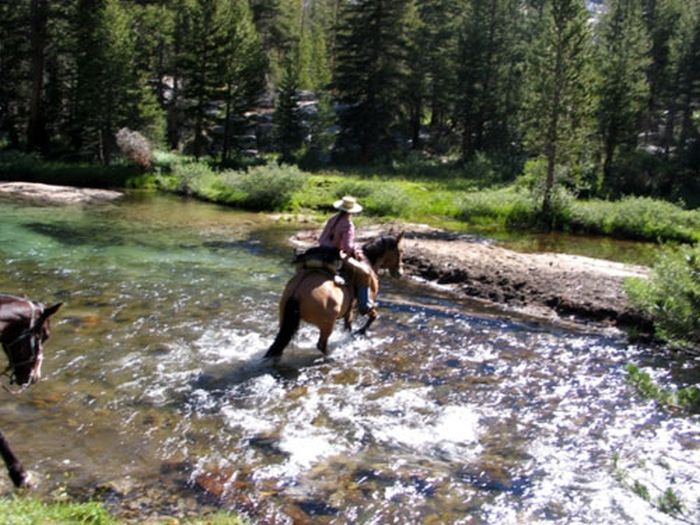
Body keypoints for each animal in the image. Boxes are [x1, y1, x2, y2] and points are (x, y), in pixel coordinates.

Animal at [266, 233, 404, 360]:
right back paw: (332, 355)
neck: (369, 262)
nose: (400, 273)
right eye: (400, 252)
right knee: (321, 345)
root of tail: (297, 292)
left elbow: (348, 326)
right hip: (327, 324)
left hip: (285, 319)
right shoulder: (365, 303)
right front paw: (360, 332)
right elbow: (373, 316)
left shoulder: (349, 310)